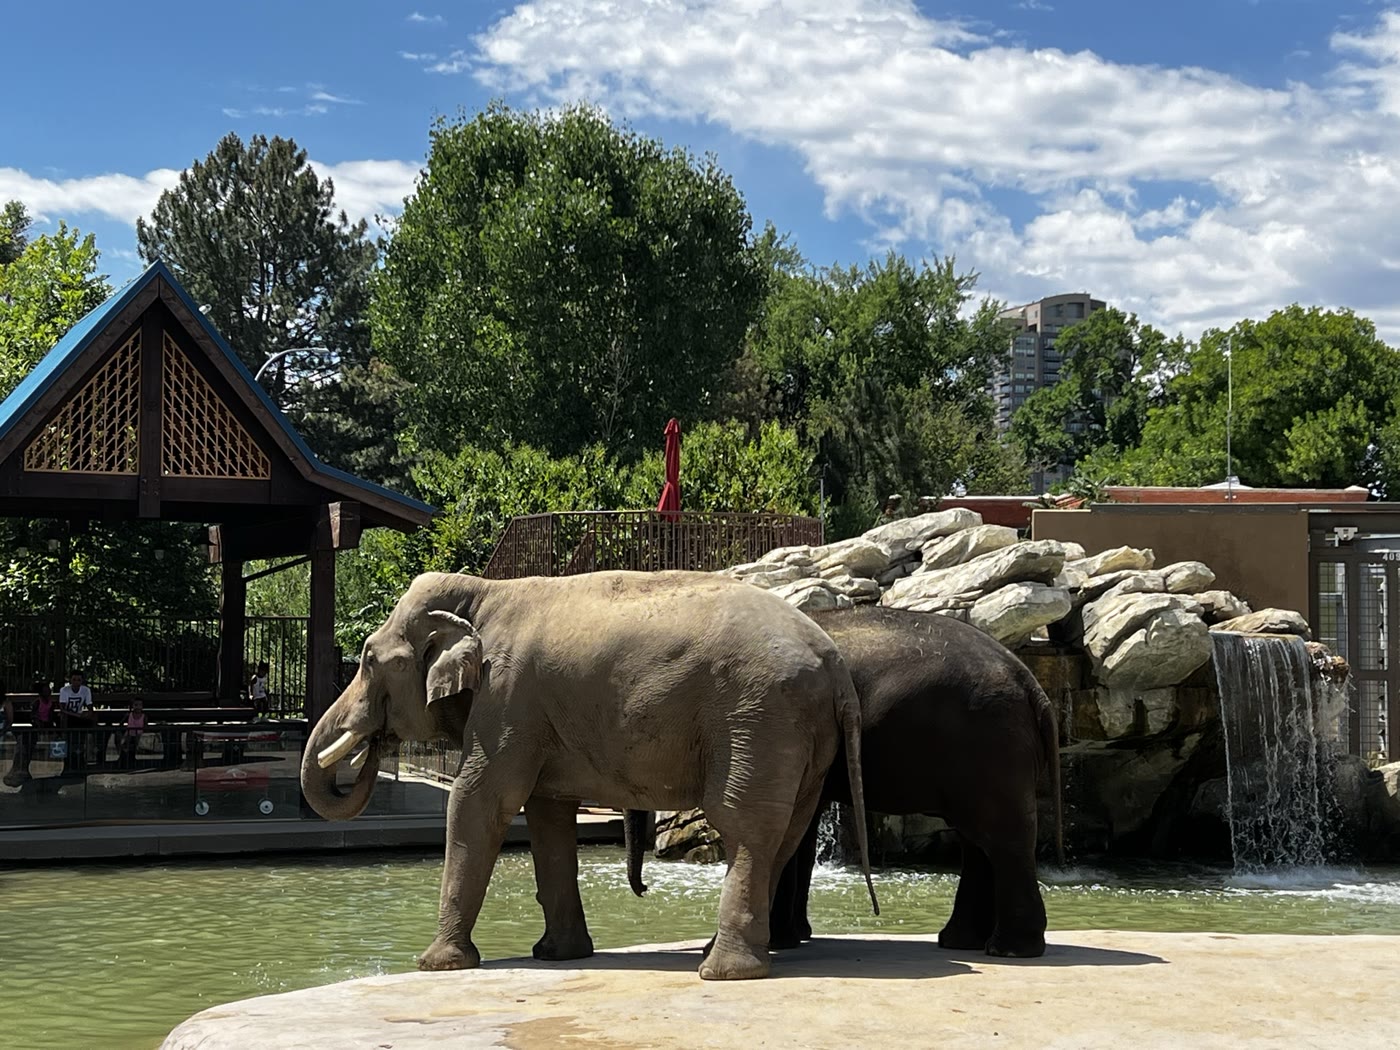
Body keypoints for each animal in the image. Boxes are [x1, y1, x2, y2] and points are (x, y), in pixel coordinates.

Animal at [300, 569, 878, 981]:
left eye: (368, 660)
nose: (371, 745)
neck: (482, 592)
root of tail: (835, 665)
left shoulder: (507, 698)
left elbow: (481, 800)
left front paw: (437, 965)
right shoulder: (530, 715)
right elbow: (547, 815)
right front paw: (557, 956)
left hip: (757, 718)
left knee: (745, 826)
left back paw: (722, 972)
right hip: (801, 735)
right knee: (786, 832)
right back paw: (727, 955)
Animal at [625, 604, 1063, 958]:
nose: (645, 892)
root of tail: (1033, 686)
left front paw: (774, 941)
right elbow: (800, 833)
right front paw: (794, 937)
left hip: (990, 747)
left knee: (1003, 839)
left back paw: (1009, 950)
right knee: (979, 842)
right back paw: (961, 942)